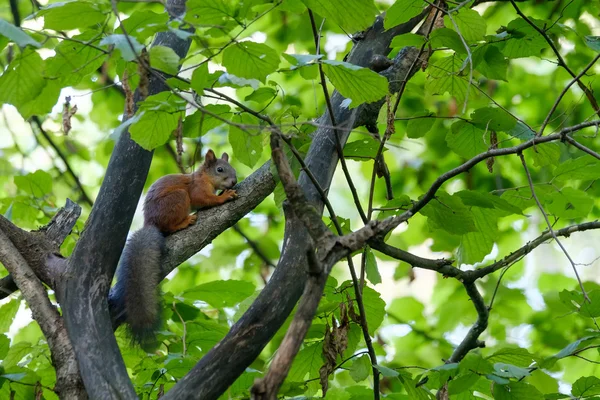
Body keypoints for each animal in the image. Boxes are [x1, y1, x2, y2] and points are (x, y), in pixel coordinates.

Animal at [111, 149, 238, 346]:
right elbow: (205, 199)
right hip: (179, 197)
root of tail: (151, 223)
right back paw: (184, 222)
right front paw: (224, 196)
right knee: (170, 226)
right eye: (220, 169)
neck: (204, 178)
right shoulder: (197, 189)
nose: (234, 181)